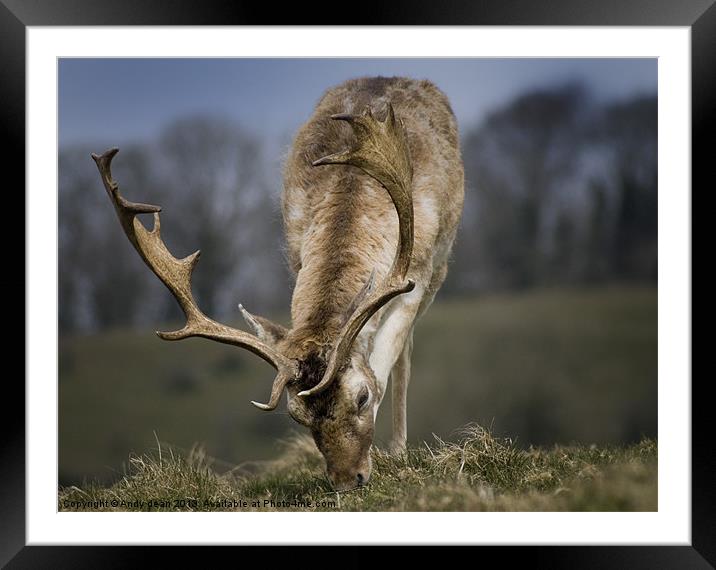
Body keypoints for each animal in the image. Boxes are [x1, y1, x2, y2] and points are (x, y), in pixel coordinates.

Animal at [93, 77, 464, 490]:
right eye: (297, 415)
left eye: (362, 398)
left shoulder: (418, 276)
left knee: (405, 355)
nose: (347, 480)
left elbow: (389, 364)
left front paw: (395, 455)